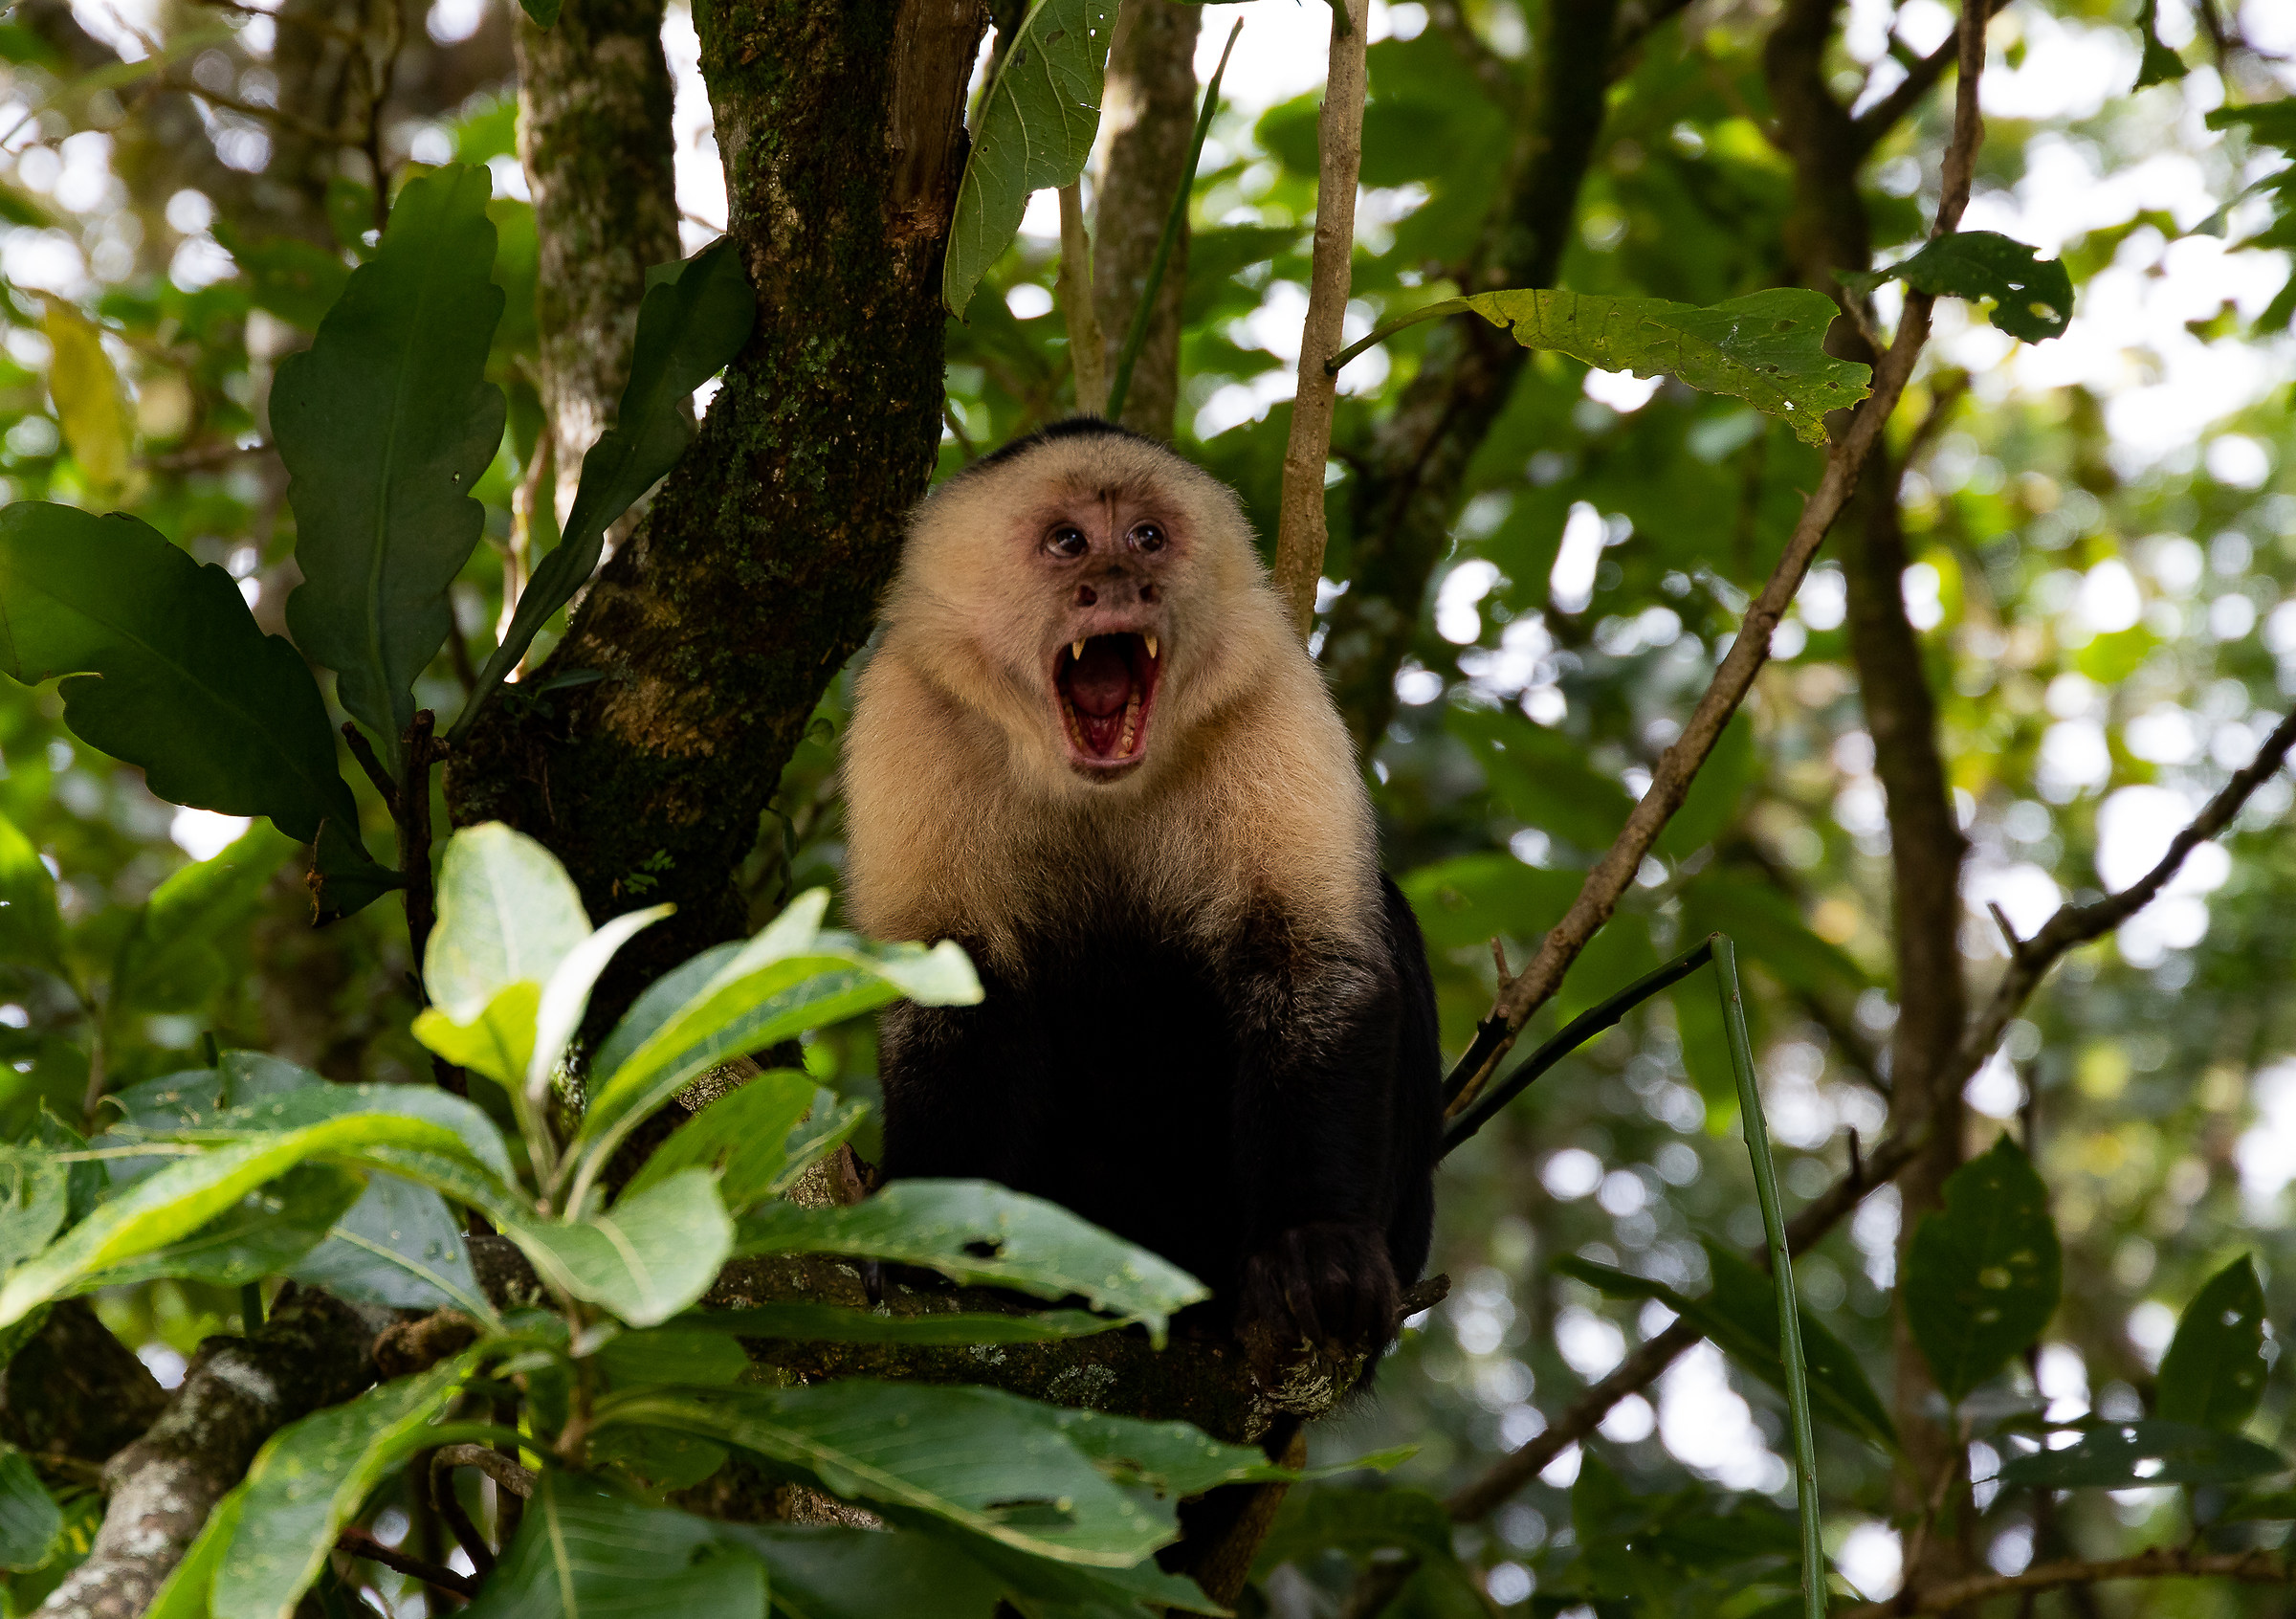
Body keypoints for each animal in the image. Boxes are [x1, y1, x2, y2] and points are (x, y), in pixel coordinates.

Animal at [842, 417, 1440, 1368]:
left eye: (1149, 536)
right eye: (1068, 542)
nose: (1122, 583)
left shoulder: (1268, 684)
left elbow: (1308, 963)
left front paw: (1314, 1246)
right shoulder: (909, 707)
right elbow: (954, 992)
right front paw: (928, 1255)